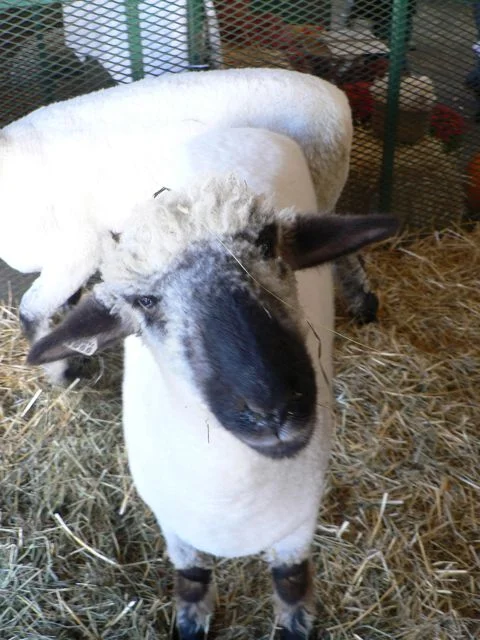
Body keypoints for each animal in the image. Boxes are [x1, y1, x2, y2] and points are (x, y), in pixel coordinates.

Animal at [1, 66, 374, 385]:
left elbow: (31, 311)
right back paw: (365, 305)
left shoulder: (78, 248)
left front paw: (62, 373)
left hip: (316, 178)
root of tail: (337, 98)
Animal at [28, 127, 398, 639]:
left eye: (268, 244)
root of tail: (233, 129)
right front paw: (191, 616)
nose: (271, 407)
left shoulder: (298, 522)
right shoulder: (172, 521)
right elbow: (192, 572)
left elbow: (290, 580)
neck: (234, 494)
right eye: (144, 301)